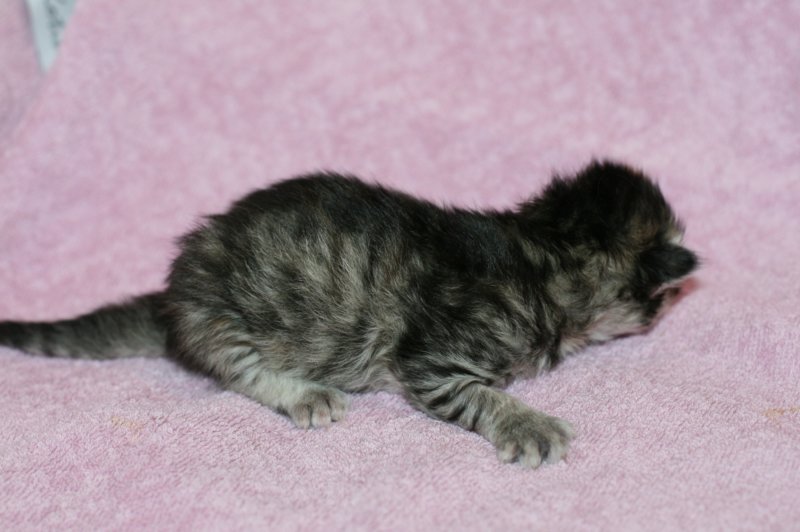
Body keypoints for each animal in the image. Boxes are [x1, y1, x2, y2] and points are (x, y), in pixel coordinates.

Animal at [0, 160, 697, 468]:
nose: (676, 298)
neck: (540, 250)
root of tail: (174, 289)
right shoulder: (432, 360)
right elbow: (483, 397)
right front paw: (529, 426)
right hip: (221, 320)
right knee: (239, 372)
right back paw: (306, 393)